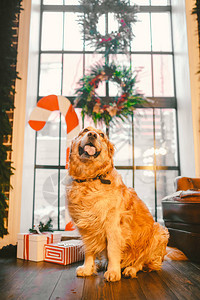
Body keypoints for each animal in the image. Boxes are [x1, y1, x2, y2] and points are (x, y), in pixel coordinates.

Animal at [67, 126, 184, 282]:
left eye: (102, 135)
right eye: (85, 130)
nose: (92, 135)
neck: (90, 179)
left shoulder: (113, 225)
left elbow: (112, 250)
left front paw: (113, 272)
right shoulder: (87, 226)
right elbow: (89, 250)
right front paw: (87, 269)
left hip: (159, 232)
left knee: (141, 262)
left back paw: (130, 269)